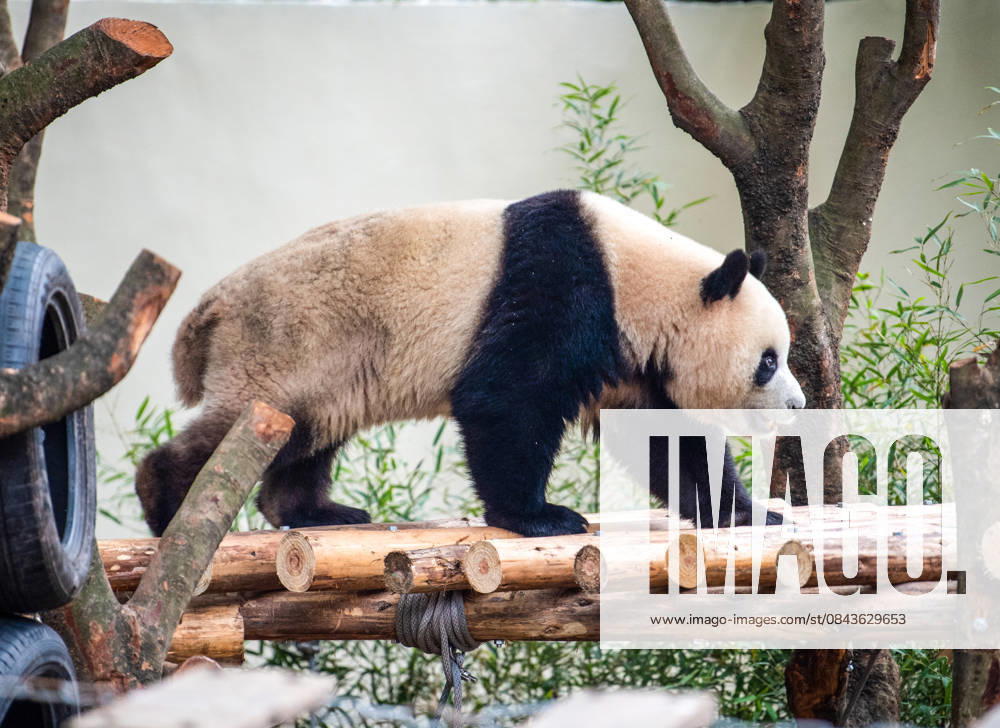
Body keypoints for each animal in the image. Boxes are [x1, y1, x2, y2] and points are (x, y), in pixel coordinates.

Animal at [136, 190, 806, 538]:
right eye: (768, 362)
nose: (798, 405)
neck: (638, 277)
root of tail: (207, 312)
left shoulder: (633, 359)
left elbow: (668, 439)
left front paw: (747, 513)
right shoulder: (562, 286)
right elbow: (506, 399)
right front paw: (540, 517)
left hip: (325, 368)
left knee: (304, 435)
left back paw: (314, 512)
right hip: (285, 341)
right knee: (238, 431)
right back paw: (169, 504)